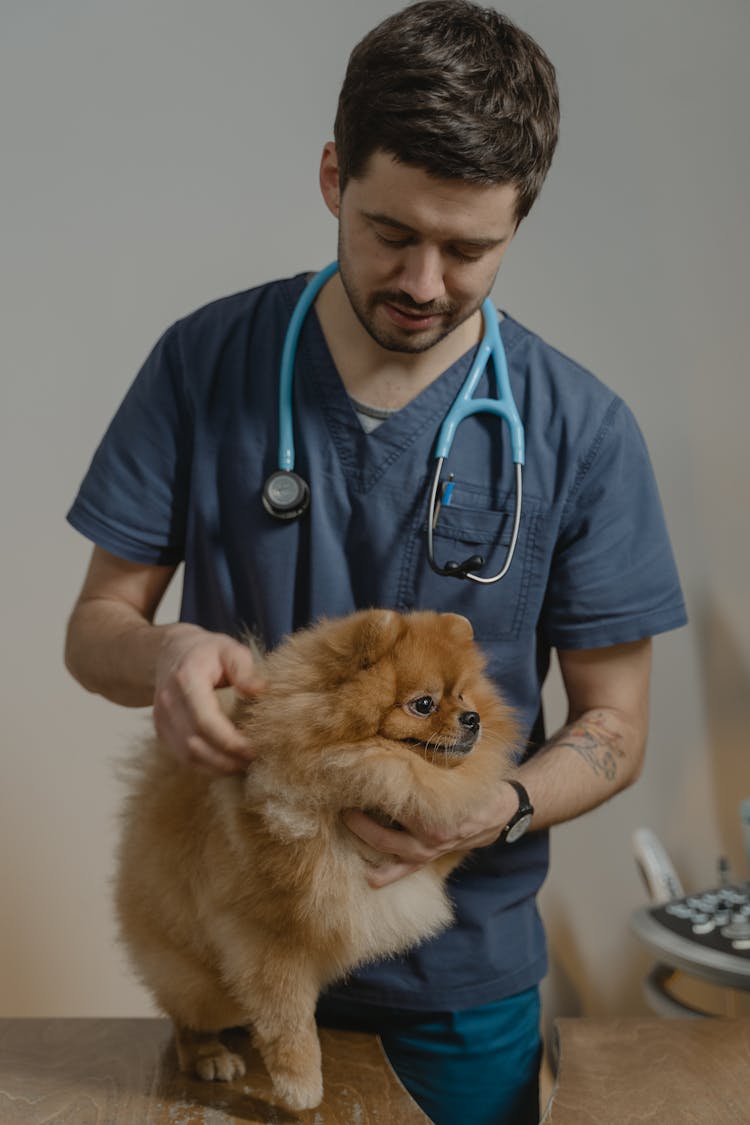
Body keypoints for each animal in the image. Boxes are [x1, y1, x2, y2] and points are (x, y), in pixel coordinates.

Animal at [115, 607, 517, 1107]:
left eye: (463, 693)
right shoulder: (268, 936)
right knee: (187, 1014)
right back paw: (208, 1054)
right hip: (202, 977)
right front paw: (301, 1085)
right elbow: (289, 1018)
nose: (473, 717)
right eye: (423, 704)